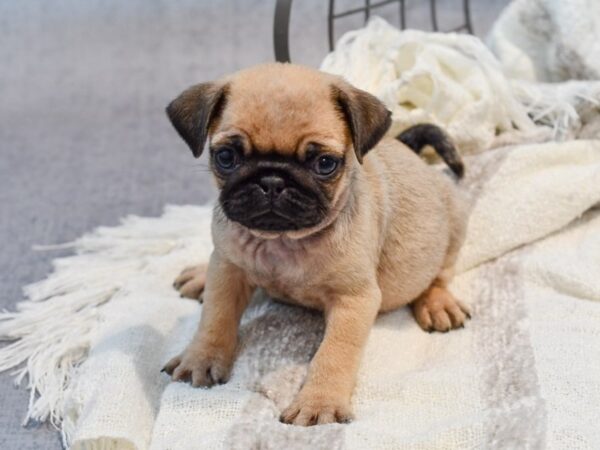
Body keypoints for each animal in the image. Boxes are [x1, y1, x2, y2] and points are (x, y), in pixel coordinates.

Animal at [163, 62, 468, 426]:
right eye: (226, 157)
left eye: (324, 164)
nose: (272, 180)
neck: (281, 243)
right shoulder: (227, 269)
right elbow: (216, 316)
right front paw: (202, 357)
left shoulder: (354, 300)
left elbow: (334, 353)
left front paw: (319, 402)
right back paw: (199, 275)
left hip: (454, 225)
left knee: (440, 274)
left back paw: (437, 303)